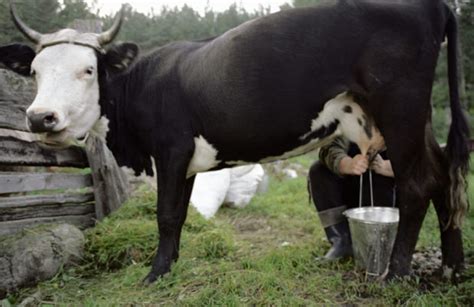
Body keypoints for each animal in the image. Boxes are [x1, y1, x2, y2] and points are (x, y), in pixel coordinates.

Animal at [0, 0, 466, 286]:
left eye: (88, 70)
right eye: (35, 71)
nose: (40, 117)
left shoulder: (170, 150)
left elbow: (166, 215)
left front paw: (154, 274)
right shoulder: (186, 160)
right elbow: (179, 216)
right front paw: (171, 264)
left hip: (400, 107)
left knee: (418, 184)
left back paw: (396, 273)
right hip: (411, 117)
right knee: (443, 175)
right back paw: (452, 267)